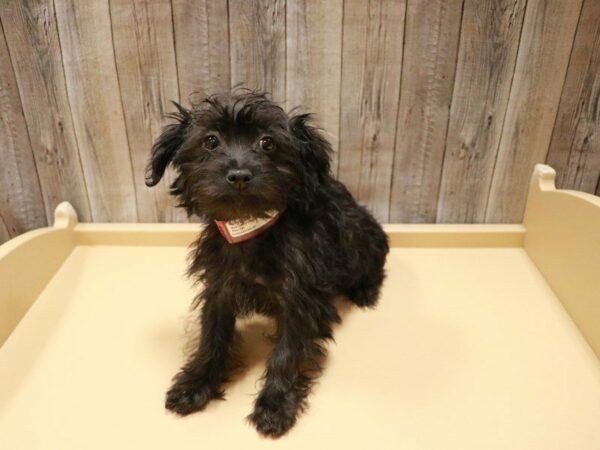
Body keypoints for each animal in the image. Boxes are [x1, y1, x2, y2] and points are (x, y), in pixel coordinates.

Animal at [145, 89, 390, 438]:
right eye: (210, 141)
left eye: (268, 143)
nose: (239, 175)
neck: (252, 228)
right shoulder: (219, 288)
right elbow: (211, 336)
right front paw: (195, 384)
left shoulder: (300, 300)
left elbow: (286, 353)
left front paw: (275, 404)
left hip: (361, 239)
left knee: (376, 262)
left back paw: (365, 291)